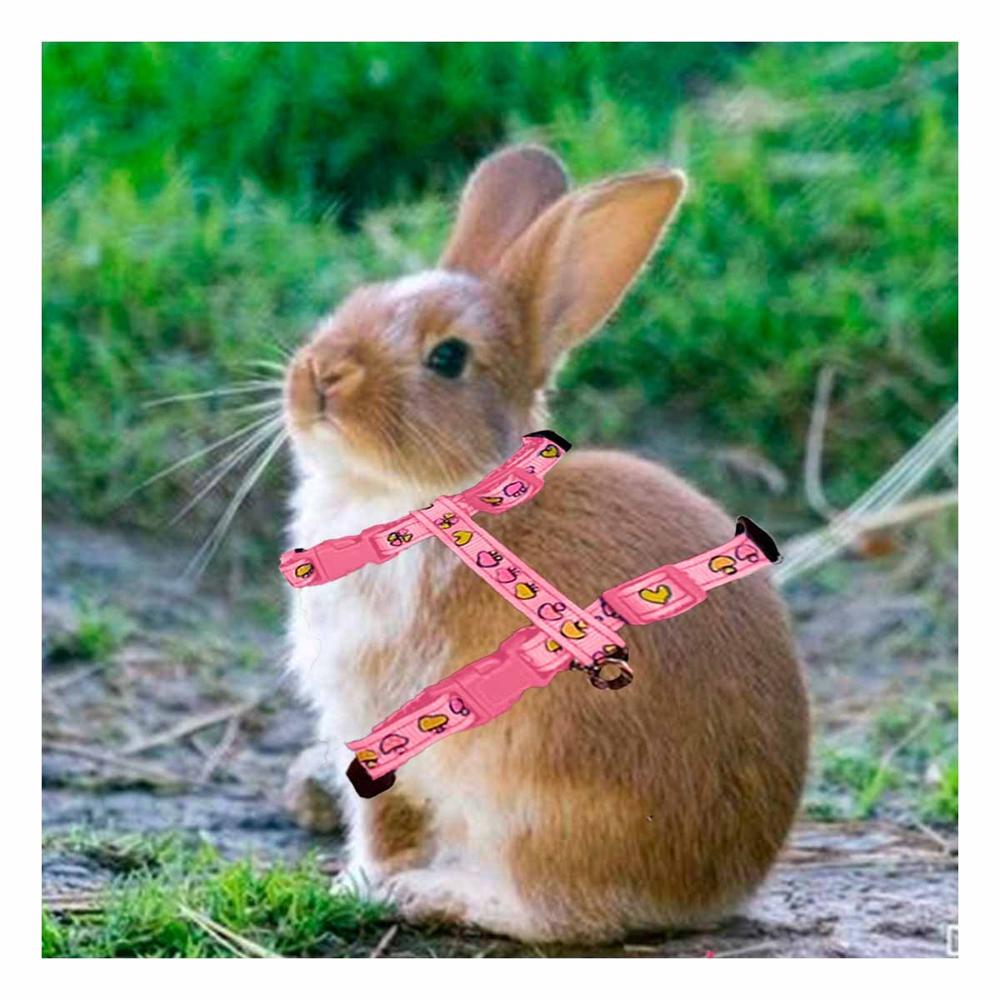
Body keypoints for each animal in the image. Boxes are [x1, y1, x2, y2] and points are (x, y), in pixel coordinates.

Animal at [282, 145, 809, 944]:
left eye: (447, 358)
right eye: (357, 300)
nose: (318, 375)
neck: (453, 496)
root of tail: (703, 889)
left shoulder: (383, 730)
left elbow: (382, 828)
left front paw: (358, 887)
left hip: (528, 807)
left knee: (551, 913)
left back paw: (436, 894)